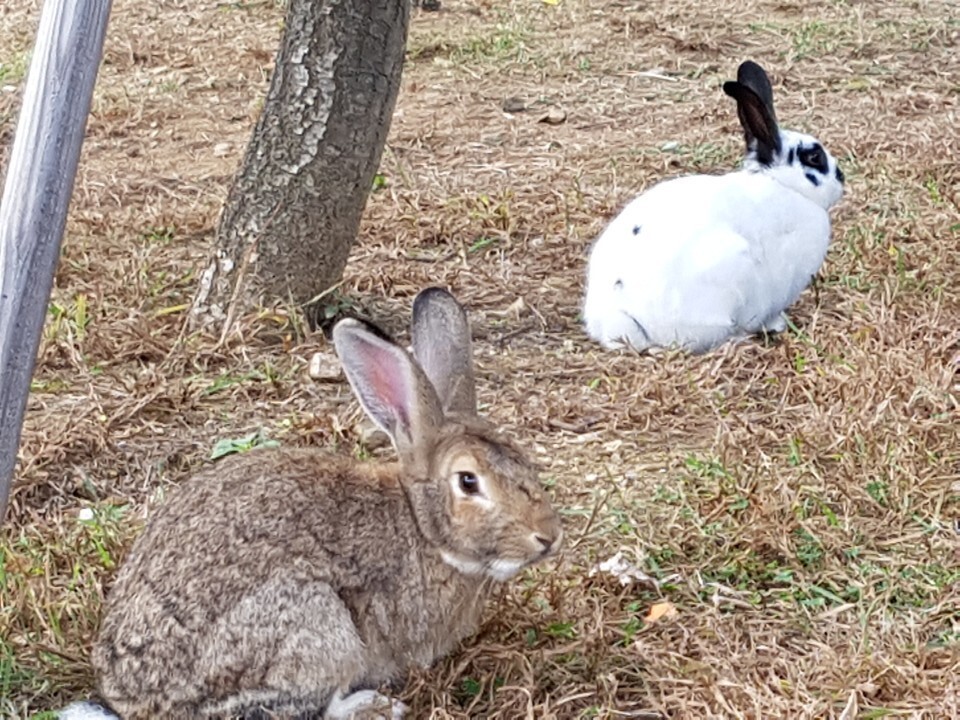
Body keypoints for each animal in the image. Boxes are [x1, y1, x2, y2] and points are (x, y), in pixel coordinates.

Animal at [62, 288, 564, 720]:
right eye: (468, 481)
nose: (547, 536)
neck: (421, 526)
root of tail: (136, 700)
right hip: (317, 626)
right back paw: (374, 706)